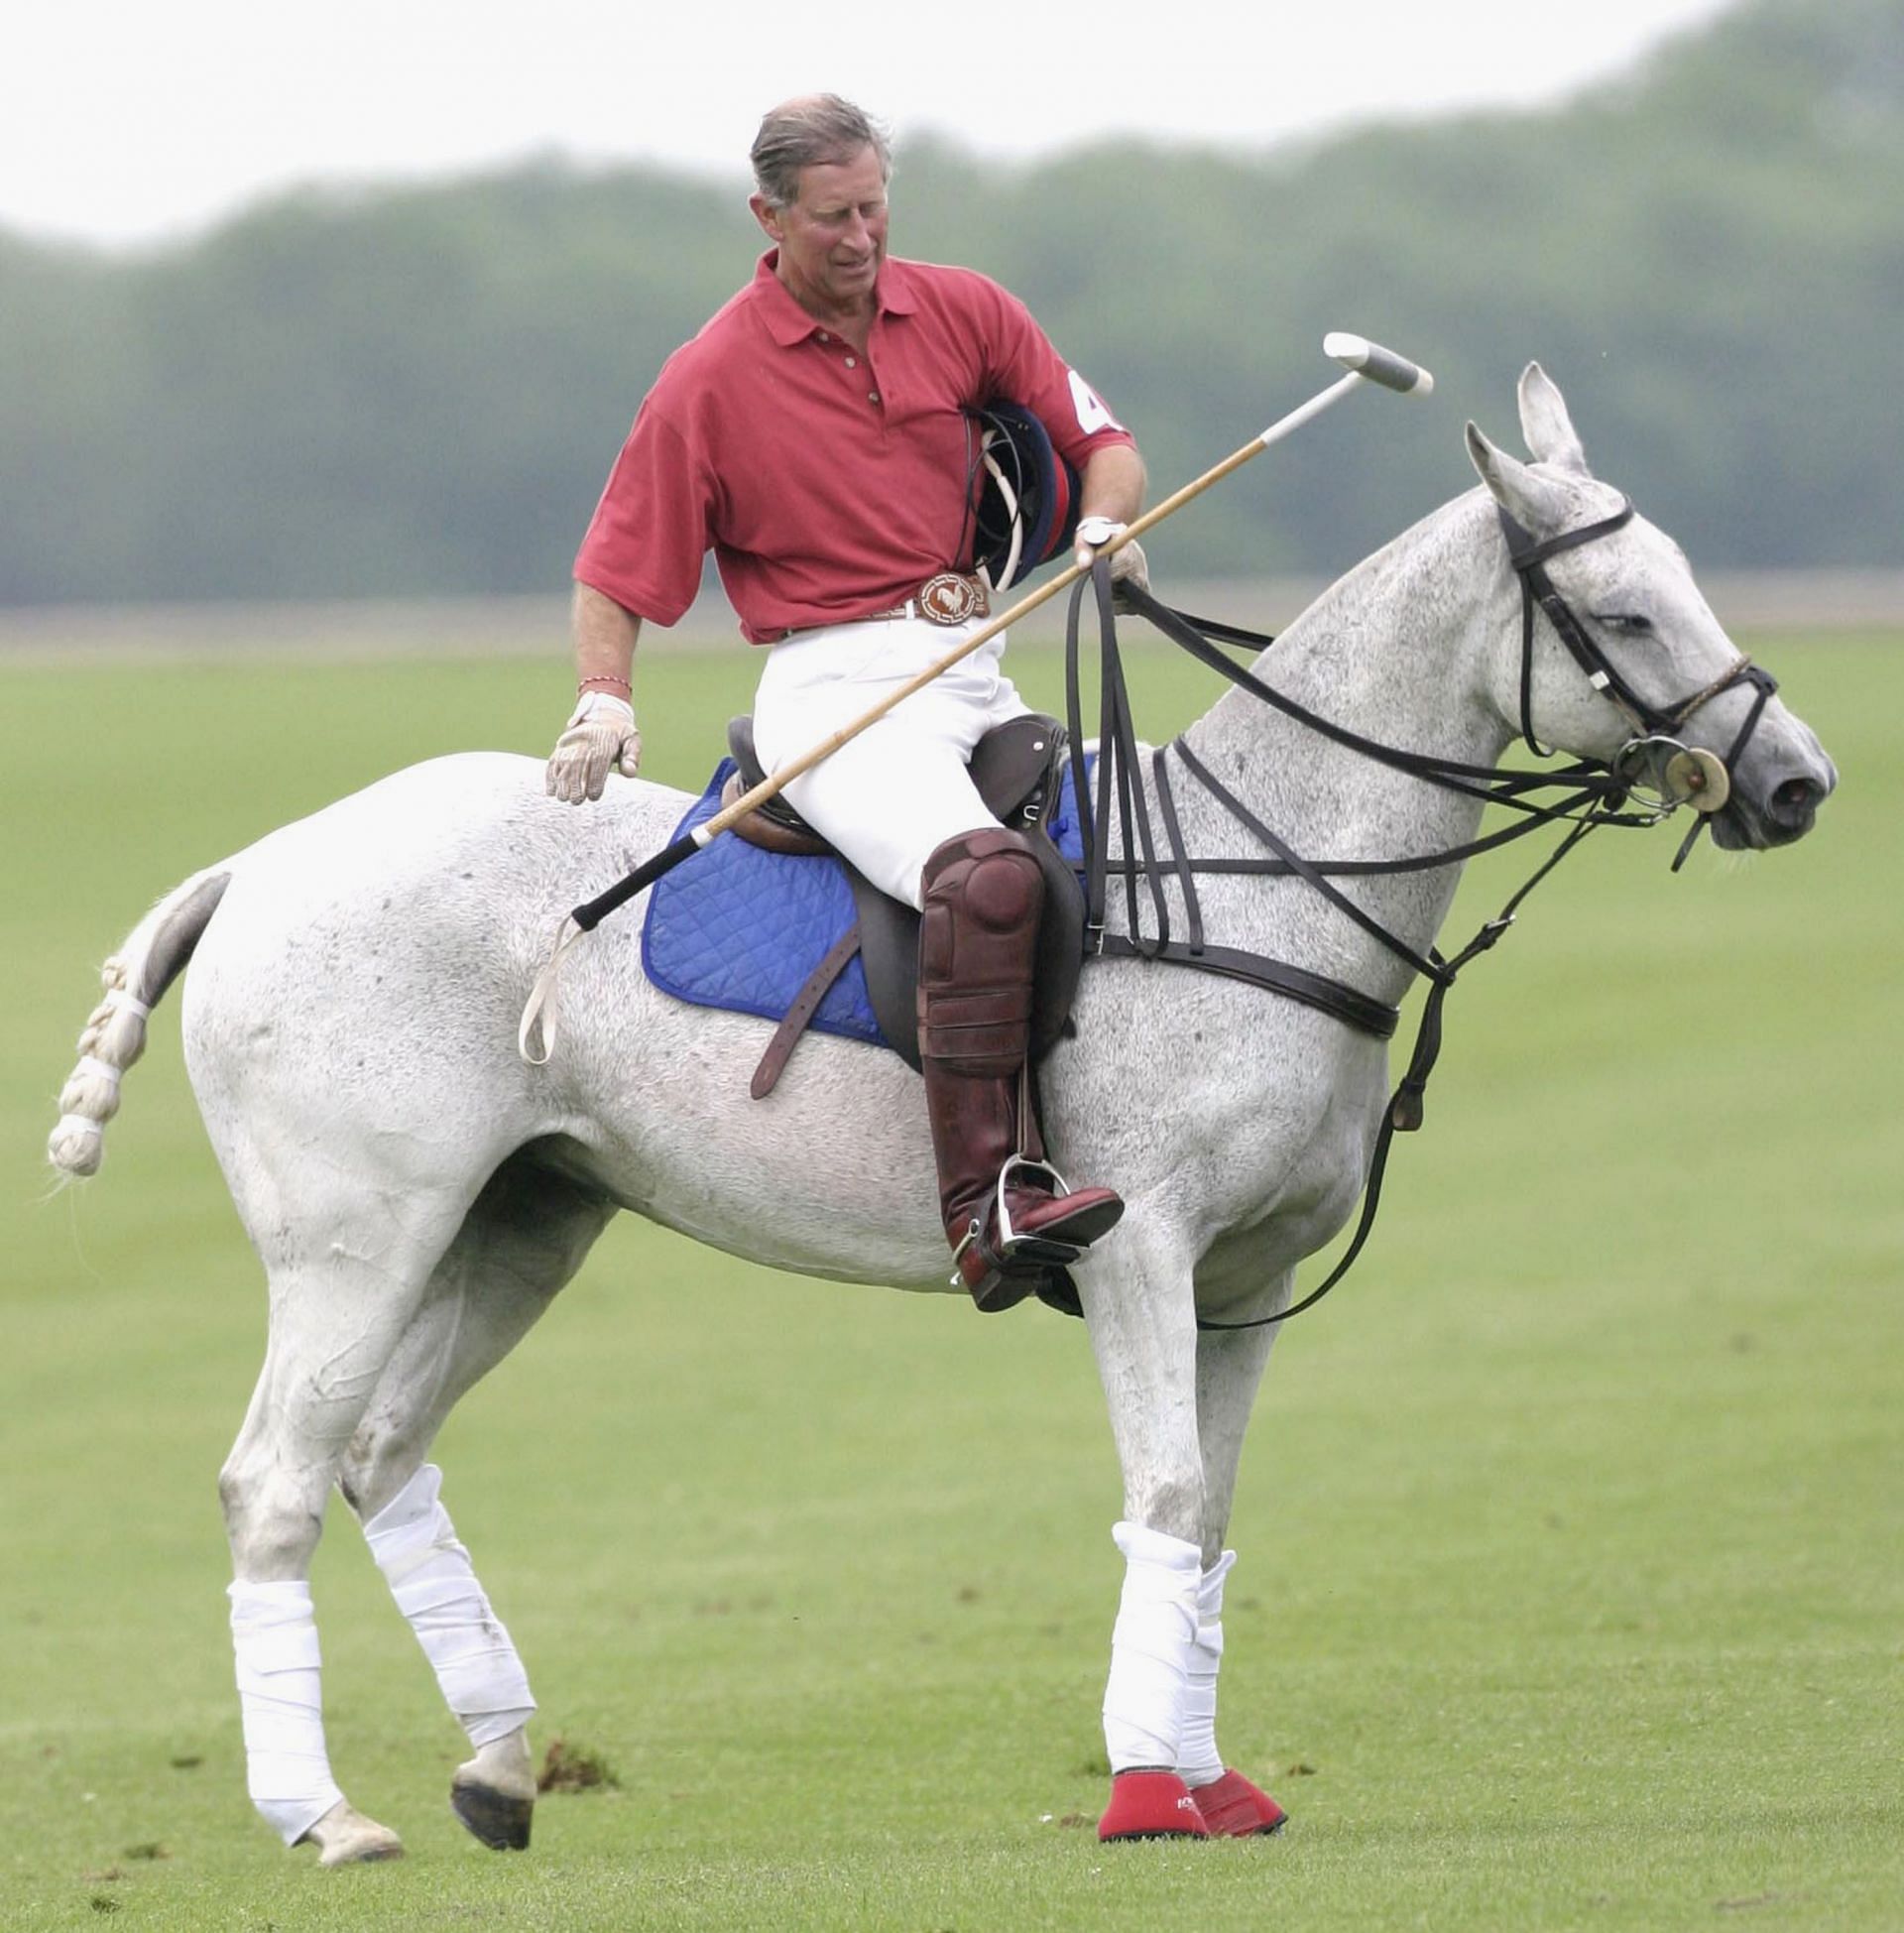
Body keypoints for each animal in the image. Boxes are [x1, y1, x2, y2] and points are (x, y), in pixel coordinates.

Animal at [41, 363, 1825, 1856]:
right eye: (1627, 612)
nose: (1797, 781)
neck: (1273, 862)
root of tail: (256, 861)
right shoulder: (1137, 1246)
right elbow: (1161, 1496)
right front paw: (1143, 1794)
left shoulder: (1243, 1282)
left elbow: (1211, 1515)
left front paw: (1215, 1780)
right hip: (359, 1232)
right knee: (274, 1477)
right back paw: (324, 1815)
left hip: (522, 1216)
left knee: (380, 1449)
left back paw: (494, 1764)